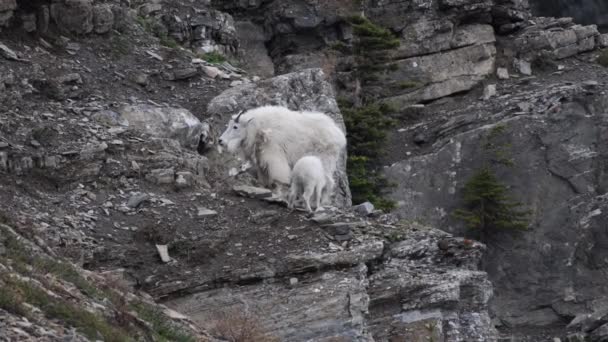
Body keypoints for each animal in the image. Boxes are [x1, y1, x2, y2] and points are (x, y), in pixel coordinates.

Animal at [217, 105, 346, 200]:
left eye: (235, 126)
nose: (220, 141)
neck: (258, 128)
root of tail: (339, 135)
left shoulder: (274, 154)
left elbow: (278, 177)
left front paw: (278, 194)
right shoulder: (261, 160)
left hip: (325, 159)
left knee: (328, 182)